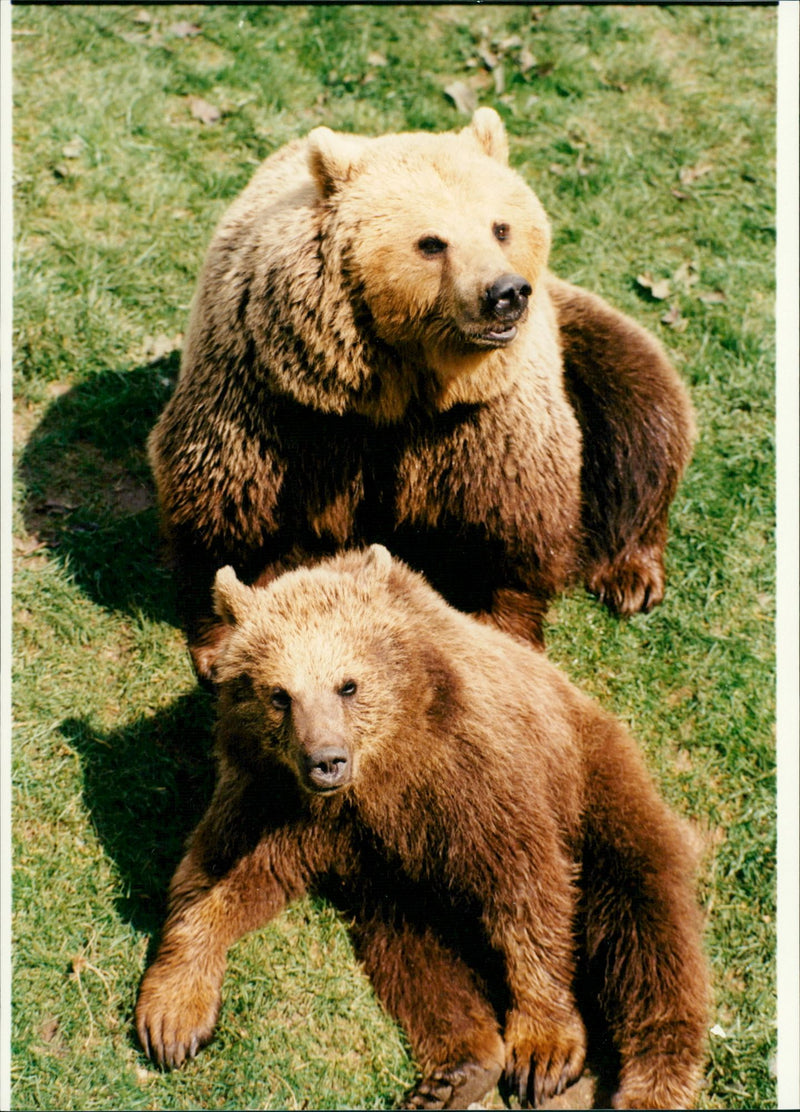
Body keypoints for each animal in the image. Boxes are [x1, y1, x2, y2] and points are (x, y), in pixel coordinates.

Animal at [136, 549, 707, 1112]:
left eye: (347, 684)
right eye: (279, 695)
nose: (326, 761)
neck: (383, 773)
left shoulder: (471, 775)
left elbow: (528, 889)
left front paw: (544, 1047)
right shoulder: (275, 802)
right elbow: (216, 879)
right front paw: (173, 1016)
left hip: (594, 786)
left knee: (646, 929)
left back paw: (650, 1085)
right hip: (396, 889)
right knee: (415, 958)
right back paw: (456, 1074)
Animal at [149, 108, 694, 680]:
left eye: (500, 227)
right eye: (432, 242)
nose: (506, 293)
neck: (396, 384)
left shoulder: (485, 412)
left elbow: (514, 517)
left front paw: (506, 627)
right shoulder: (273, 395)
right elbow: (227, 501)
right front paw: (226, 637)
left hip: (583, 339)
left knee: (642, 416)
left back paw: (630, 575)